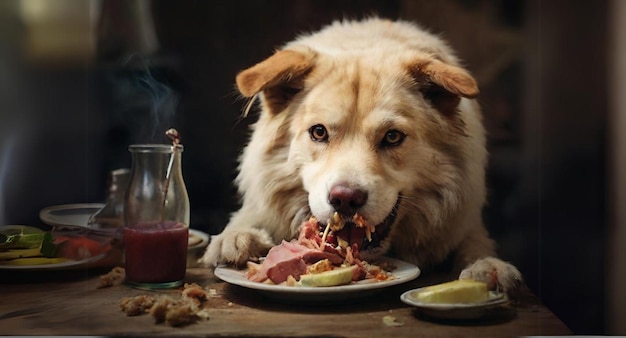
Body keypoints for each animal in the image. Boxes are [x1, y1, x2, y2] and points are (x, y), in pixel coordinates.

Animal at [200, 17, 520, 294]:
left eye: (392, 137)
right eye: (319, 133)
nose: (345, 199)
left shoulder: (462, 222)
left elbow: (476, 243)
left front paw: (488, 267)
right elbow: (245, 219)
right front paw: (237, 238)